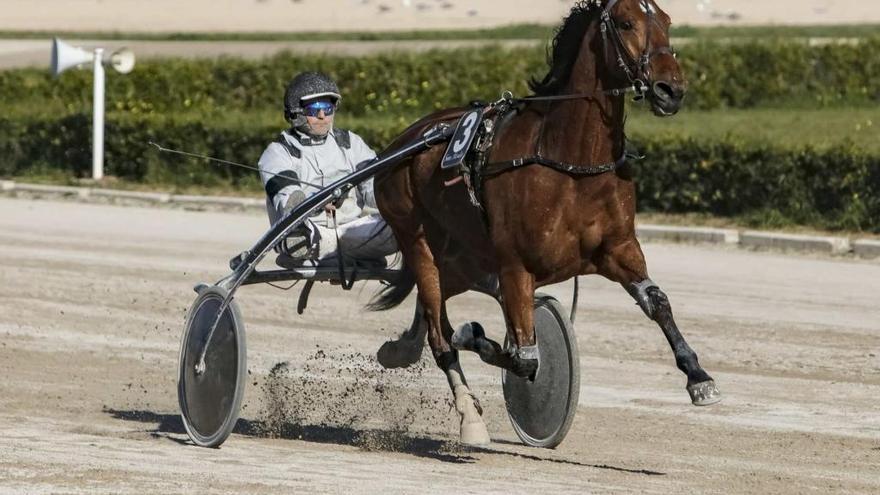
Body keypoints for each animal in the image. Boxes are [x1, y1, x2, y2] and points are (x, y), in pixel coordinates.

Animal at [368, 0, 720, 448]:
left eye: (667, 20)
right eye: (626, 22)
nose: (670, 89)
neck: (570, 162)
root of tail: (401, 143)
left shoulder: (618, 249)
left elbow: (656, 301)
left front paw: (699, 376)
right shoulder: (515, 266)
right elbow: (524, 358)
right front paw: (474, 336)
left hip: (466, 257)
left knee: (435, 309)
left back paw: (401, 349)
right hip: (417, 236)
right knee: (439, 332)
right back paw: (470, 416)